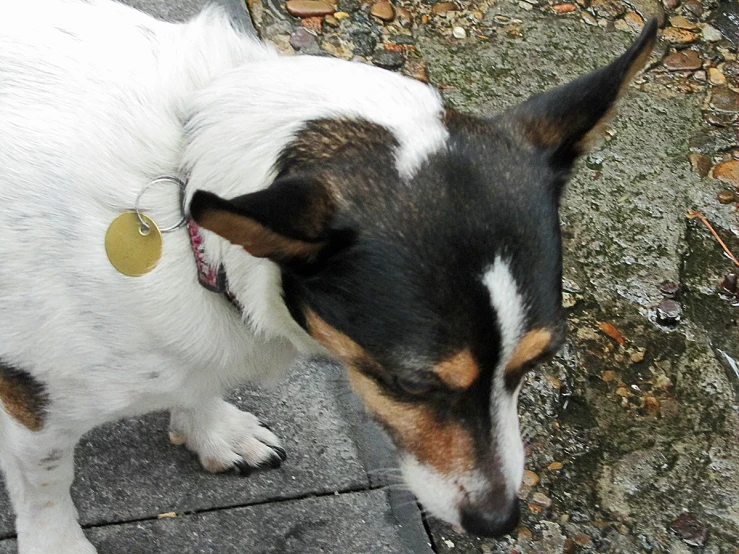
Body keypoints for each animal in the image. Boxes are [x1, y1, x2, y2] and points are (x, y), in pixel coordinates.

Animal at [0, 2, 660, 548]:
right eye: (412, 384)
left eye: (540, 361)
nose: (498, 522)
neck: (180, 196)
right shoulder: (32, 410)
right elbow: (47, 489)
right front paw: (58, 545)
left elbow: (195, 385)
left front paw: (213, 429)